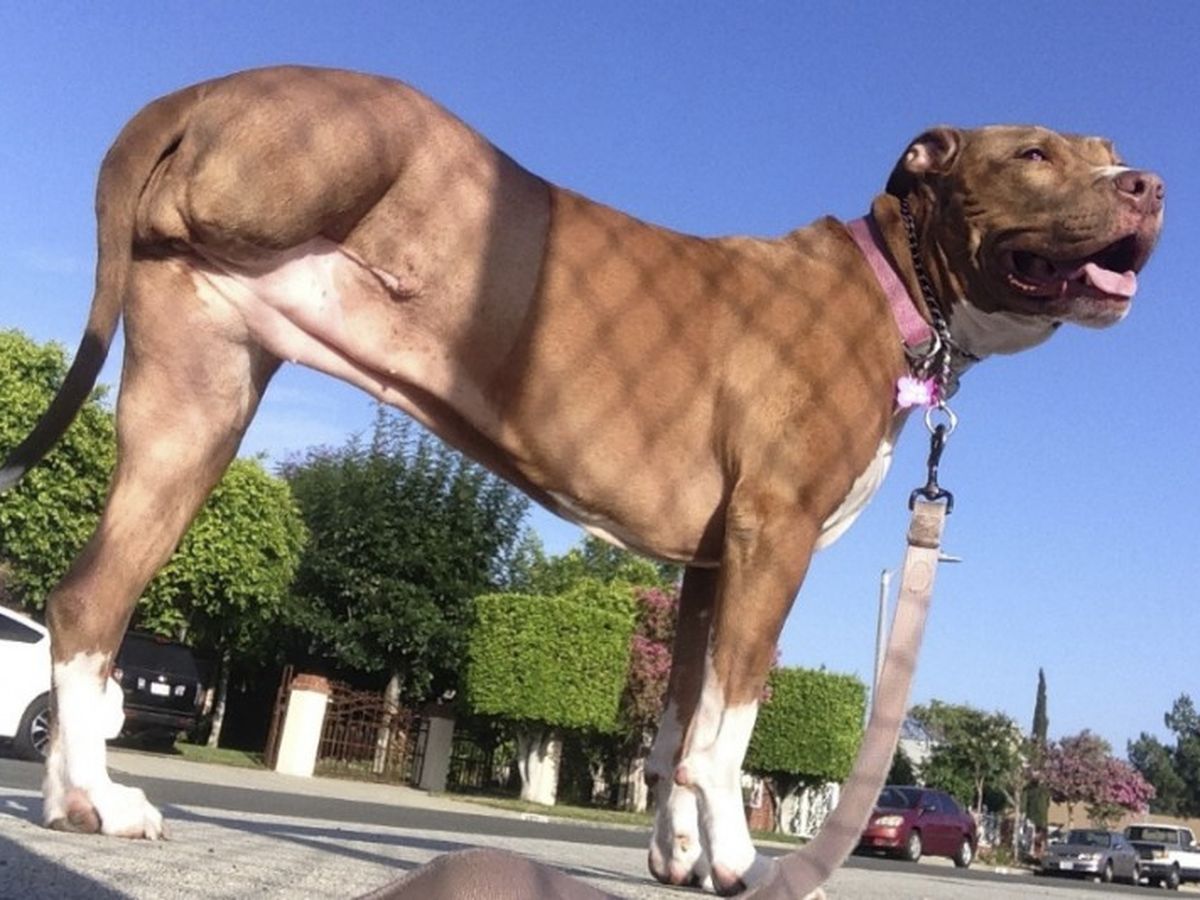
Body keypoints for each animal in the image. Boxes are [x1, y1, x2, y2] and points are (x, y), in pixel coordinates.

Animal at [0, 65, 1162, 894]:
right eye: (1034, 153)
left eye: (1109, 154)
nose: (1146, 185)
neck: (893, 281)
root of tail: (207, 87)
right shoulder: (773, 536)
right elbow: (729, 729)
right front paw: (736, 860)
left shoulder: (710, 565)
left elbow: (679, 722)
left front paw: (679, 858)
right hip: (341, 164)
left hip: (194, 408)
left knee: (90, 597)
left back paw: (83, 799)